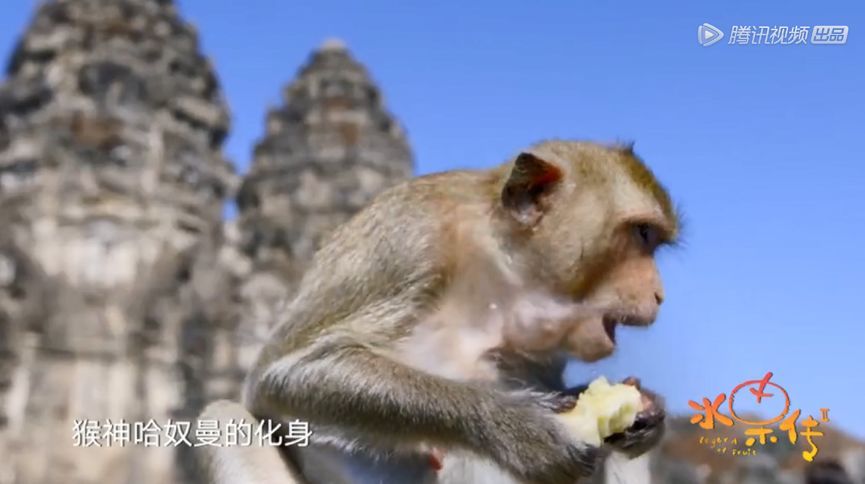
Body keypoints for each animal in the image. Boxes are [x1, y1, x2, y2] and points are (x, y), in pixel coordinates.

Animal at [201, 138, 676, 482]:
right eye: (642, 234)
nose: (659, 294)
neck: (498, 270)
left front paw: (644, 412)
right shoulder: (407, 239)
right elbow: (286, 373)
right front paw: (521, 428)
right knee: (224, 416)